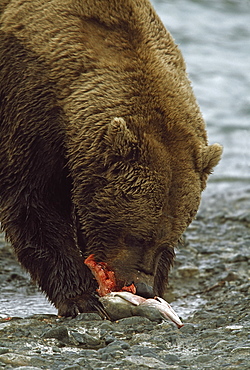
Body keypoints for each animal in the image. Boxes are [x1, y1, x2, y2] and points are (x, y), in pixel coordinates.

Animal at [0, 0, 223, 318]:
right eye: (135, 236)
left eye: (165, 240)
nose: (143, 287)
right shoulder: (29, 103)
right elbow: (33, 202)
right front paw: (82, 297)